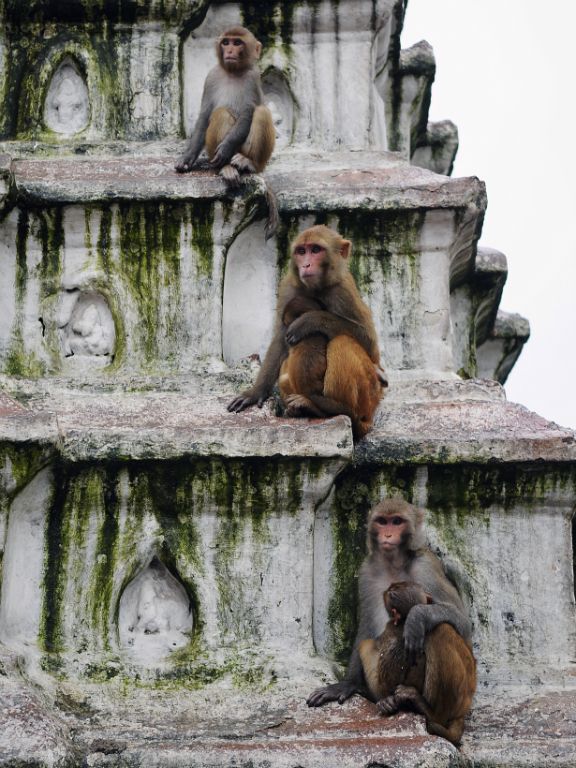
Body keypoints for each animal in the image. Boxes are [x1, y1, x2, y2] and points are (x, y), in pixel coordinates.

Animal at [174, 27, 276, 190]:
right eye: (226, 42)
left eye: (237, 43)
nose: (229, 51)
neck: (233, 72)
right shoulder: (211, 77)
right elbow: (205, 116)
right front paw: (187, 157)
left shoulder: (253, 77)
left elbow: (248, 112)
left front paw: (227, 146)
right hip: (212, 156)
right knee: (220, 112)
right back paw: (226, 168)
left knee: (262, 112)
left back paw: (249, 162)